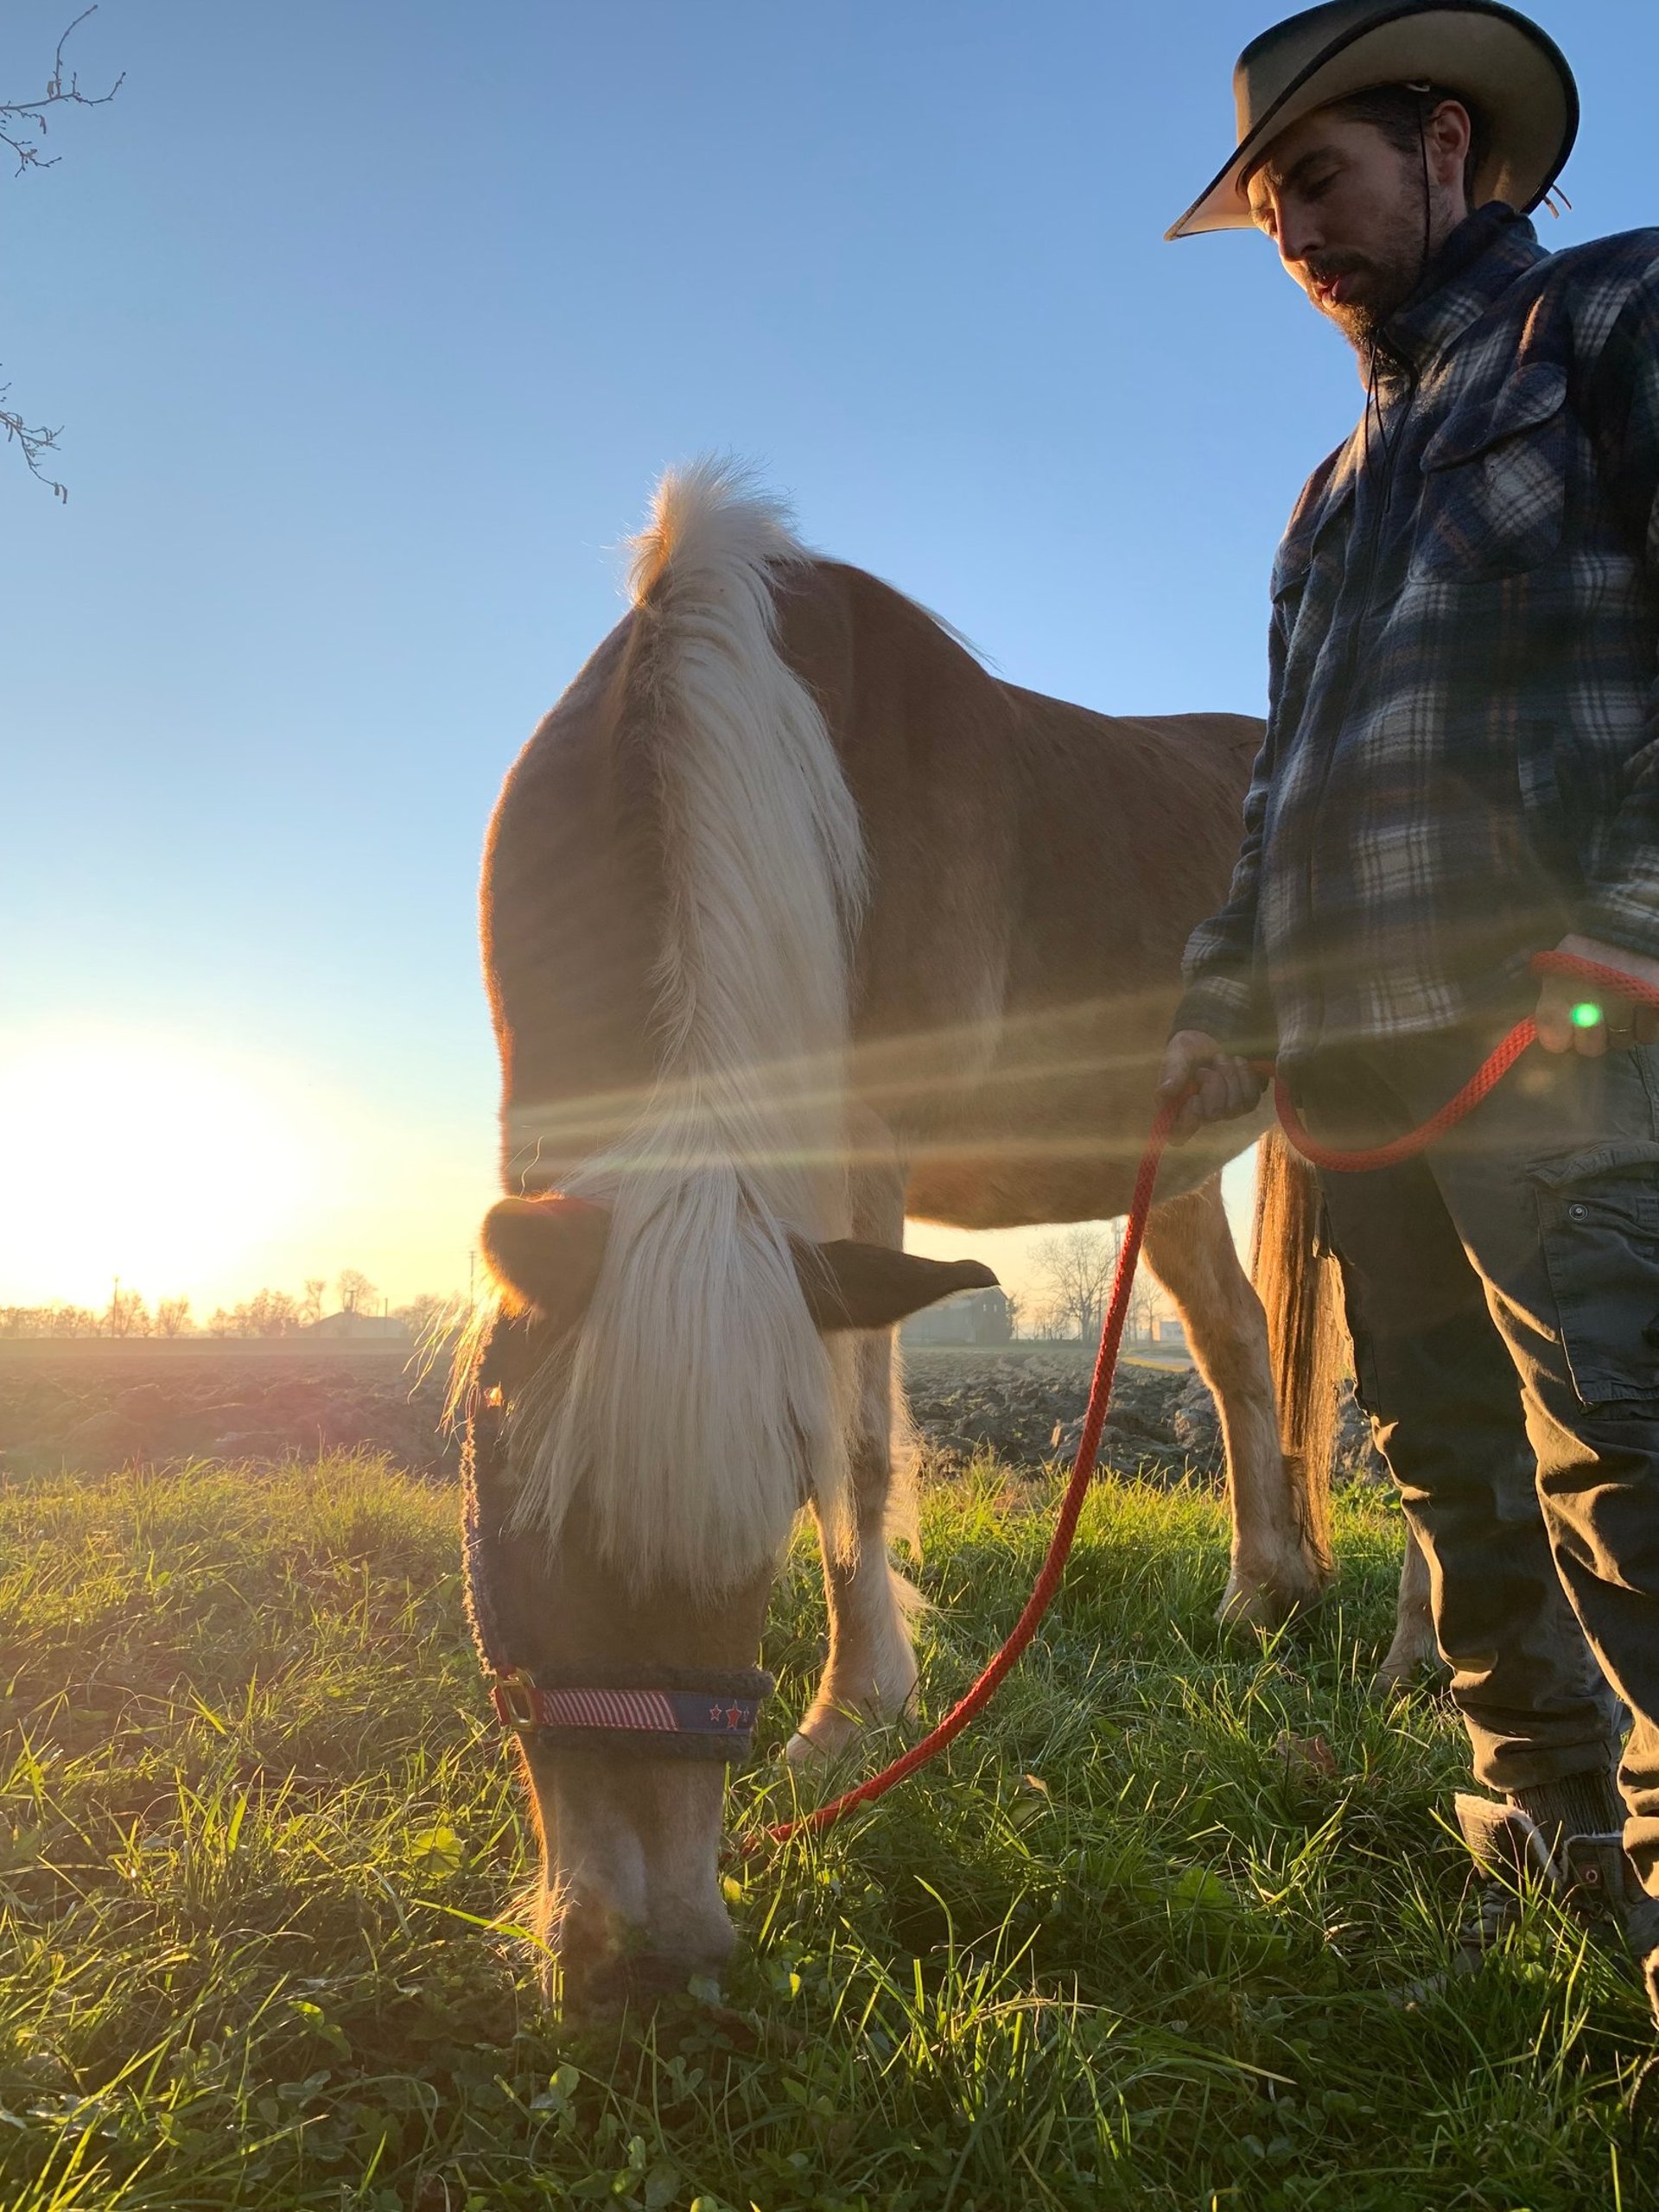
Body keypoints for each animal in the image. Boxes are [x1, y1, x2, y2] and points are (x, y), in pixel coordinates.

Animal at [468, 462, 1433, 2008]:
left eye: (756, 1535)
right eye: (522, 1517)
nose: (651, 1951)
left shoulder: (858, 1160)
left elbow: (860, 1451)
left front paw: (849, 1718)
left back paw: (1416, 1658)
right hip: (1170, 1163)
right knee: (1236, 1350)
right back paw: (1262, 1594)